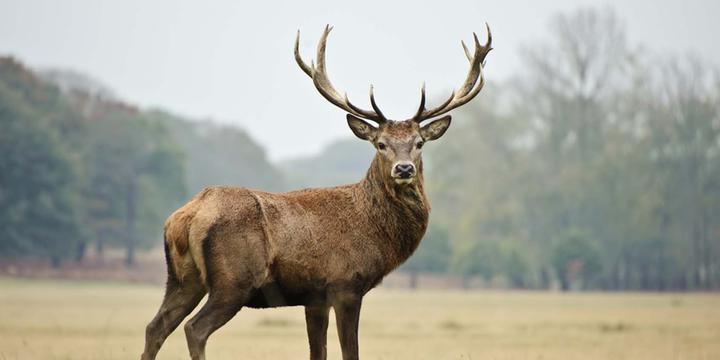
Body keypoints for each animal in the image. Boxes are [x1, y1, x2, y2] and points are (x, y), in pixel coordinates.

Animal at [141, 23, 490, 358]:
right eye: (380, 144)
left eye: (419, 143)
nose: (404, 169)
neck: (374, 231)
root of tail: (185, 217)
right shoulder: (346, 284)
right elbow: (350, 352)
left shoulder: (314, 297)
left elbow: (317, 352)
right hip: (233, 280)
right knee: (194, 329)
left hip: (183, 279)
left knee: (155, 327)